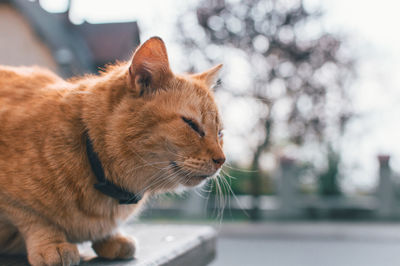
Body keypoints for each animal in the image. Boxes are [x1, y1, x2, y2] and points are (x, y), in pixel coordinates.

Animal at [0, 37, 225, 266]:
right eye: (192, 125)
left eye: (220, 133)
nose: (221, 160)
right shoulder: (14, 204)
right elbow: (36, 219)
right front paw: (53, 243)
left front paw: (111, 238)